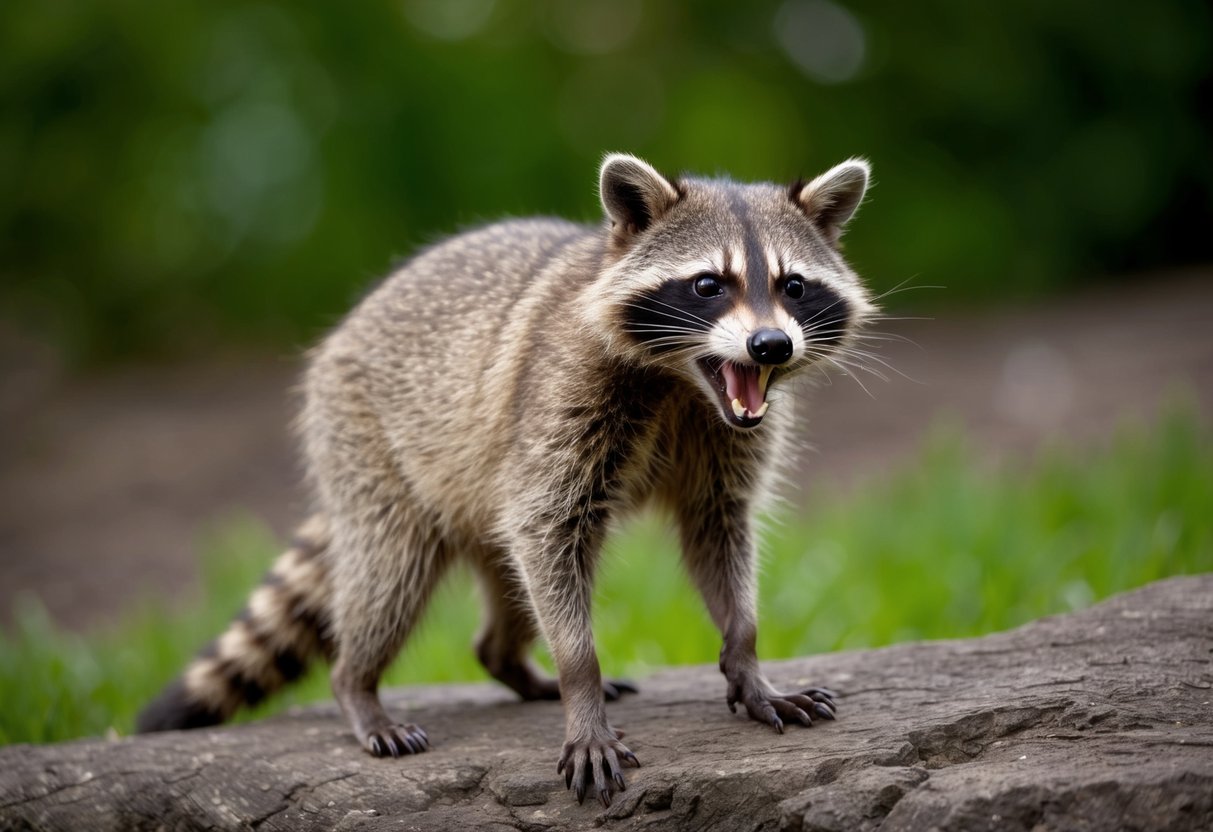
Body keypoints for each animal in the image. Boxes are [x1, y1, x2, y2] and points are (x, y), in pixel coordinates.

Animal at [137, 153, 874, 808]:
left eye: (793, 286)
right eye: (708, 284)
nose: (770, 346)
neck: (683, 381)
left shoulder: (723, 444)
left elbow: (717, 530)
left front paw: (747, 660)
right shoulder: (559, 399)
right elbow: (548, 530)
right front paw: (580, 681)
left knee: (507, 581)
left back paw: (508, 660)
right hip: (368, 439)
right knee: (390, 574)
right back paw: (358, 684)